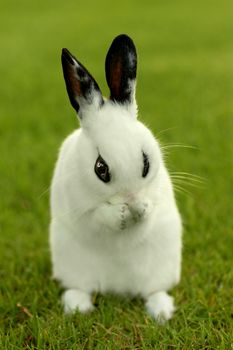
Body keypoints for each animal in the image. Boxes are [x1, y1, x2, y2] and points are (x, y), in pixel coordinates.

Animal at [50, 34, 183, 324]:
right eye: (101, 168)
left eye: (146, 162)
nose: (130, 199)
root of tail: (119, 289)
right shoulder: (81, 210)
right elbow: (99, 218)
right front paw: (120, 213)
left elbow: (147, 216)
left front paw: (139, 208)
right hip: (72, 266)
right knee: (80, 288)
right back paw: (78, 306)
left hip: (161, 267)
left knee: (153, 290)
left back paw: (161, 312)